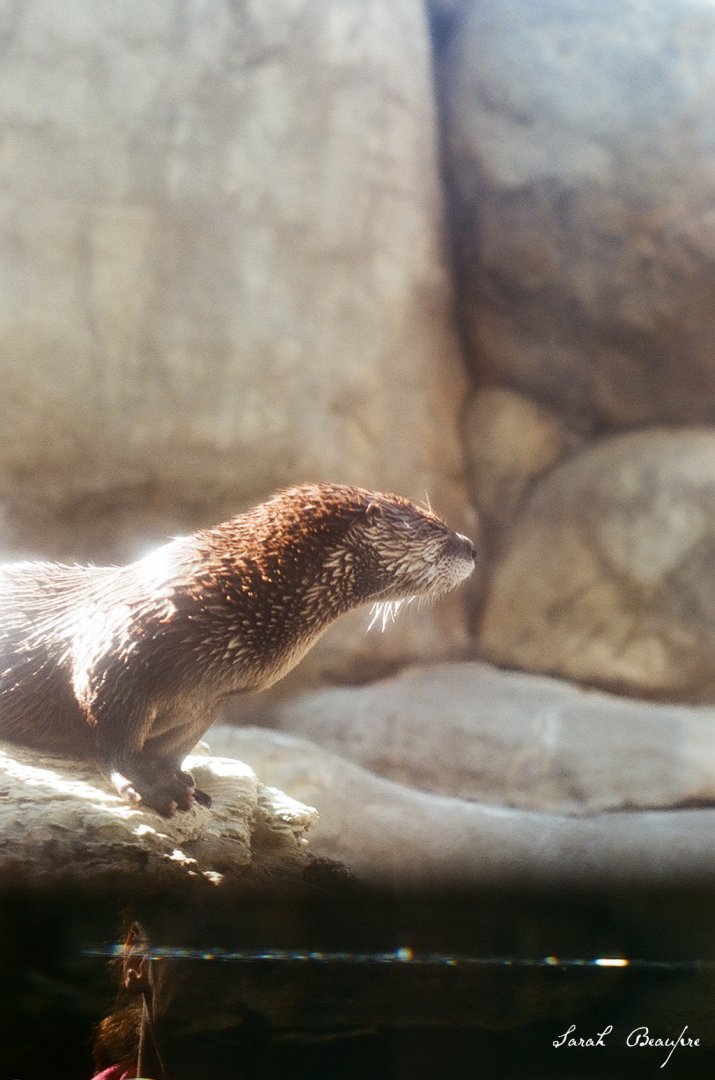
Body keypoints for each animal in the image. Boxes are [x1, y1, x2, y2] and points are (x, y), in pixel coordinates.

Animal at [0, 483, 476, 815]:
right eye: (435, 527)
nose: (471, 545)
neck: (241, 591)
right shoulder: (118, 654)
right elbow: (115, 734)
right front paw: (151, 788)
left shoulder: (212, 697)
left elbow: (178, 744)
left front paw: (183, 782)